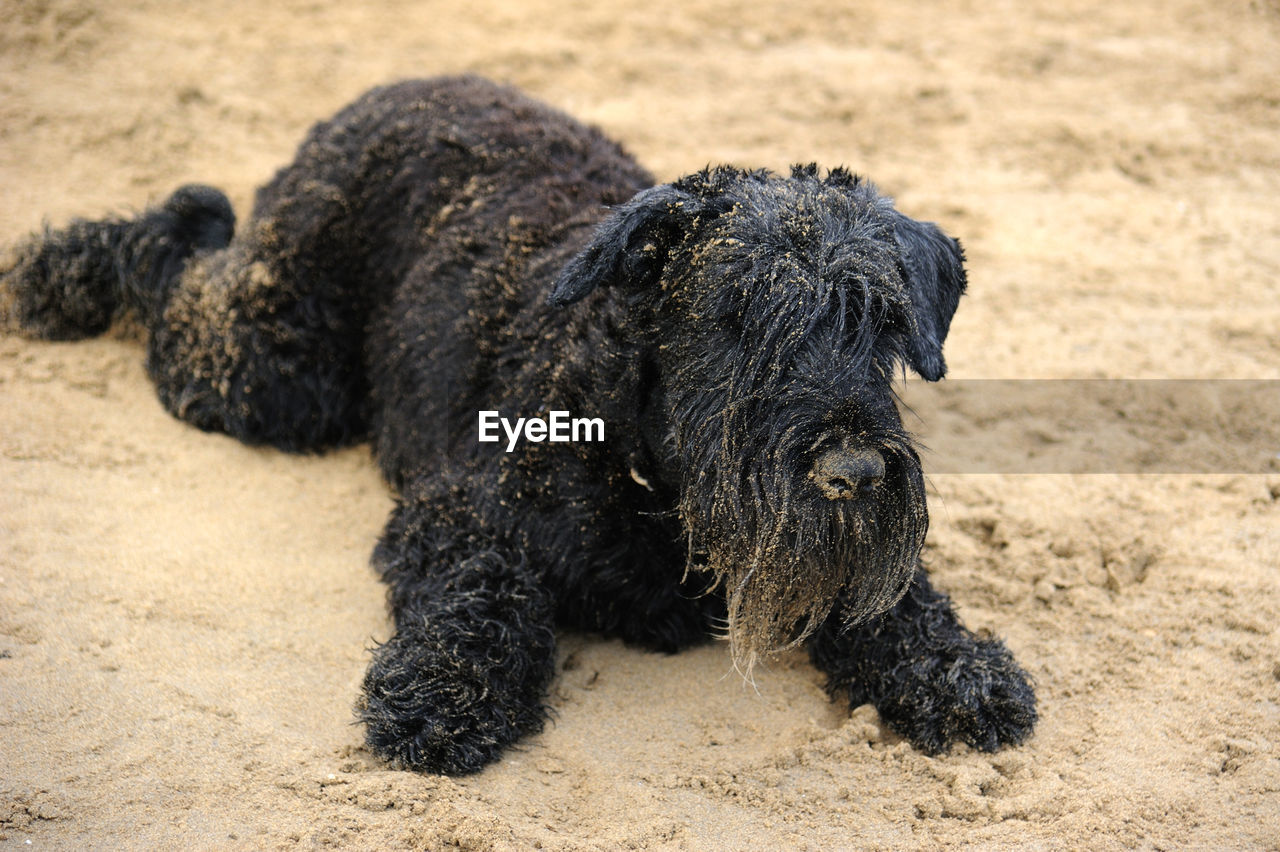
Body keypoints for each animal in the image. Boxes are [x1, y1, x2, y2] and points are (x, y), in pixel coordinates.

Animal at [0, 76, 1034, 772]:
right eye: (733, 313)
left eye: (882, 320)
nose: (852, 473)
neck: (643, 463)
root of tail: (379, 94)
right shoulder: (456, 508)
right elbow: (485, 588)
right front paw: (442, 693)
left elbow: (891, 596)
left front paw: (953, 666)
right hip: (270, 375)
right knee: (177, 252)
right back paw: (61, 271)